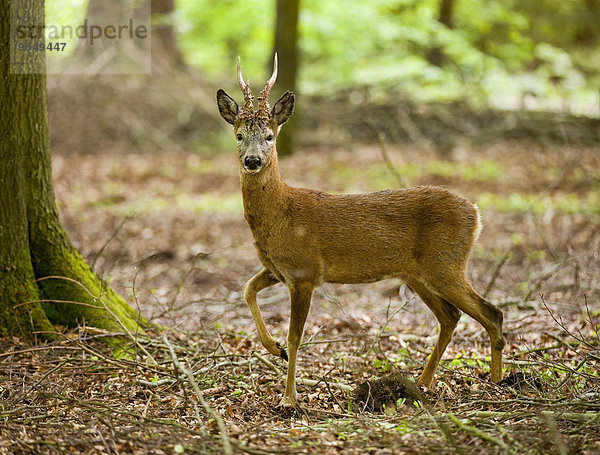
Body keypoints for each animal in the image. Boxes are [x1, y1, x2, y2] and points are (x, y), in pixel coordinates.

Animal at [217, 55, 506, 408]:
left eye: (270, 135)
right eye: (239, 135)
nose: (253, 161)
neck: (281, 213)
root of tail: (476, 213)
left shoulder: (304, 272)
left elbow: (296, 336)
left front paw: (288, 397)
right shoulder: (277, 269)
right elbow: (247, 289)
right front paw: (275, 349)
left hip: (446, 264)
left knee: (492, 312)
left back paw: (496, 382)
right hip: (418, 273)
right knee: (451, 316)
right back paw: (424, 383)